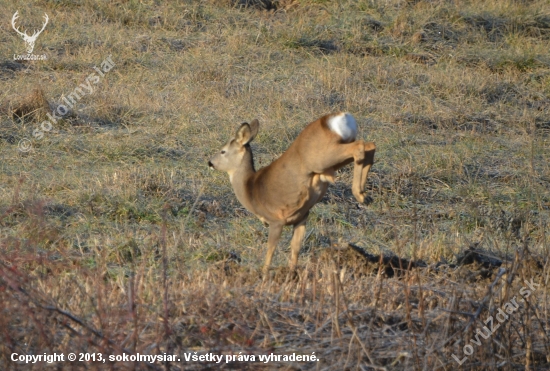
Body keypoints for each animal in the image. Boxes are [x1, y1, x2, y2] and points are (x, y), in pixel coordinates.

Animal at [209, 112, 378, 276]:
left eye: (223, 151)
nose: (210, 163)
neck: (250, 189)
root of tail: (339, 117)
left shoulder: (276, 220)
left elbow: (271, 249)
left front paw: (264, 274)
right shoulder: (301, 216)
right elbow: (295, 247)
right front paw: (292, 273)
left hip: (322, 157)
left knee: (360, 146)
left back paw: (359, 194)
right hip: (333, 158)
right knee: (369, 146)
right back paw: (365, 195)